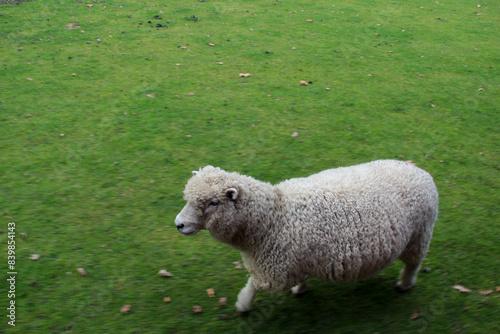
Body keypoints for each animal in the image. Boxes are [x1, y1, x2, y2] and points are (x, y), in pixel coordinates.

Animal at [175, 160, 438, 312]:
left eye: (213, 203)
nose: (179, 224)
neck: (272, 217)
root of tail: (420, 171)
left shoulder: (274, 269)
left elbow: (254, 285)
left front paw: (242, 304)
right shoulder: (296, 260)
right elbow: (299, 278)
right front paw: (300, 289)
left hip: (419, 235)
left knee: (413, 264)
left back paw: (405, 284)